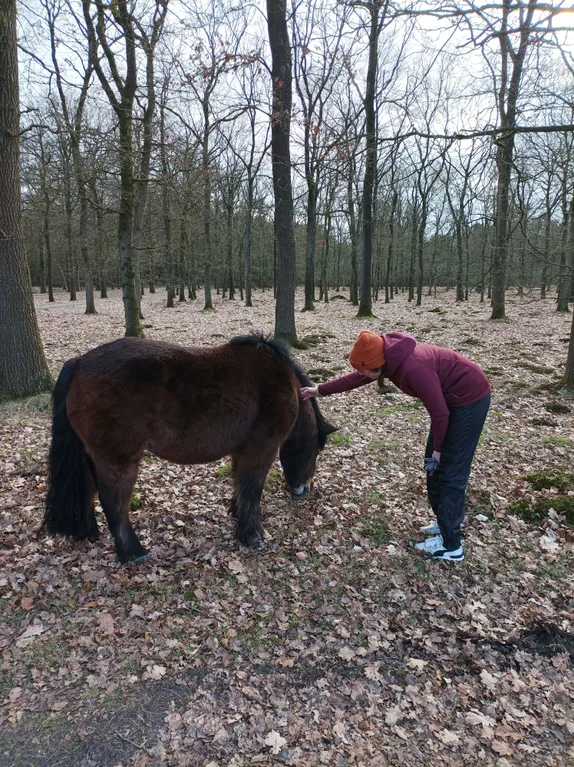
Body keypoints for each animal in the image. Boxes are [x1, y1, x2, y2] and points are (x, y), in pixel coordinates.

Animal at [43, 333, 337, 563]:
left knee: (86, 489)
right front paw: (252, 535)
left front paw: (236, 514)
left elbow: (240, 485)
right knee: (113, 501)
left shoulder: (242, 451)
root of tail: (80, 362)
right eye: (317, 449)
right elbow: (252, 488)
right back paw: (133, 553)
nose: (303, 489)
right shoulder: (260, 449)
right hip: (117, 459)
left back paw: (90, 533)